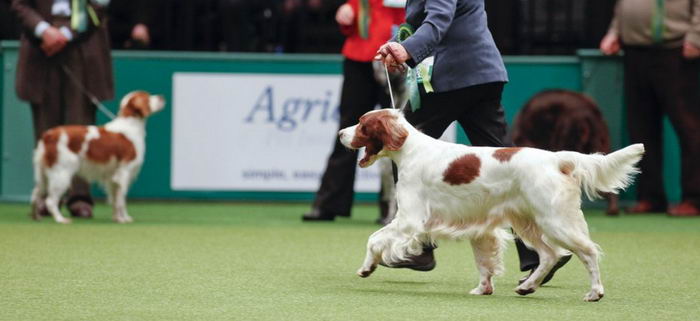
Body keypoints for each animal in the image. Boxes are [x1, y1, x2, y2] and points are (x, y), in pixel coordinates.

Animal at [32, 90, 165, 222]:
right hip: (61, 174)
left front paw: (117, 218)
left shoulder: (113, 178)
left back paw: (37, 216)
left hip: (44, 175)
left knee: (35, 194)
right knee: (50, 201)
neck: (130, 125)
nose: (161, 97)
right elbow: (121, 201)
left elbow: (115, 201)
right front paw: (124, 219)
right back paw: (61, 219)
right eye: (147, 97)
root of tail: (48, 135)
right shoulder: (124, 173)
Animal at [342, 109, 644, 302]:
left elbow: (374, 239)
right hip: (529, 223)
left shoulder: (409, 219)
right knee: (550, 256)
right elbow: (484, 262)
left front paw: (367, 267)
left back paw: (595, 292)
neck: (410, 150)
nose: (340, 133)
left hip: (555, 221)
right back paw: (528, 287)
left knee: (587, 252)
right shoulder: (479, 226)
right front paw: (483, 289)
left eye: (361, 123)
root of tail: (557, 158)